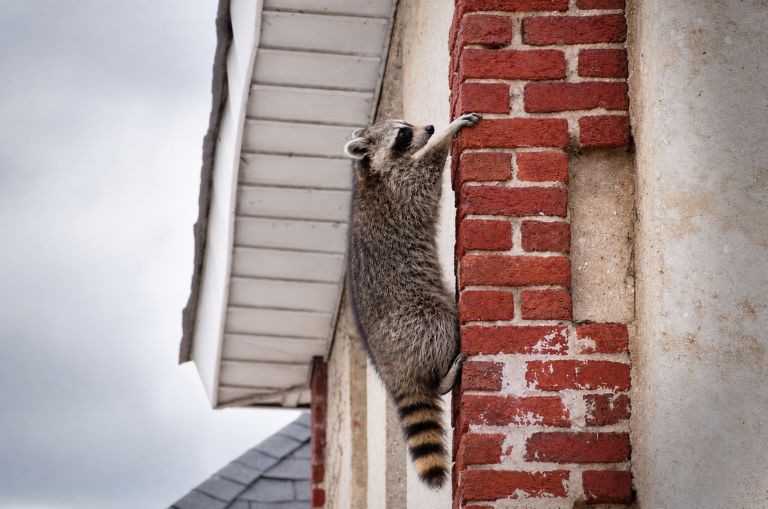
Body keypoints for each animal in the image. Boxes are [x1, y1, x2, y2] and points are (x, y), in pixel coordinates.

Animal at [344, 113, 482, 488]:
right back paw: (444, 377)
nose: (430, 128)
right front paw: (448, 134)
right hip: (412, 319)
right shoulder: (401, 190)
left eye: (406, 124)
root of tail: (393, 370)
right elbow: (426, 175)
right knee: (438, 323)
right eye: (403, 134)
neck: (370, 172)